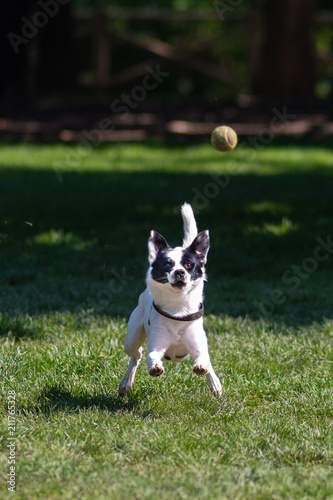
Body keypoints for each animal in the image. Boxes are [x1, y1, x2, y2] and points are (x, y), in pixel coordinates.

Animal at [118, 202, 222, 394]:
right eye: (167, 264)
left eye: (189, 264)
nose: (179, 272)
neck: (178, 308)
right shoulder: (157, 345)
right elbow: (152, 356)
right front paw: (155, 367)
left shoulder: (198, 344)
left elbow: (204, 358)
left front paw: (208, 375)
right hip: (131, 339)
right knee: (137, 354)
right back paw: (126, 383)